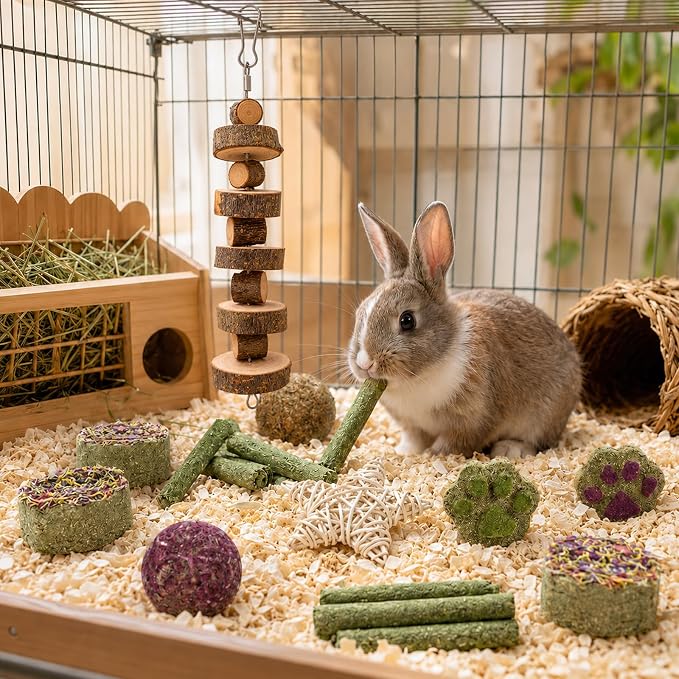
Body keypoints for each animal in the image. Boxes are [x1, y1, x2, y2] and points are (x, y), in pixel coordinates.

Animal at [347, 201, 582, 459]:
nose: (365, 363)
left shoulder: (473, 419)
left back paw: (511, 448)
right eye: (359, 313)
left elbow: (455, 442)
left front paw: (434, 455)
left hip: (545, 416)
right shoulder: (411, 425)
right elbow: (414, 439)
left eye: (407, 320)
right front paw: (406, 452)